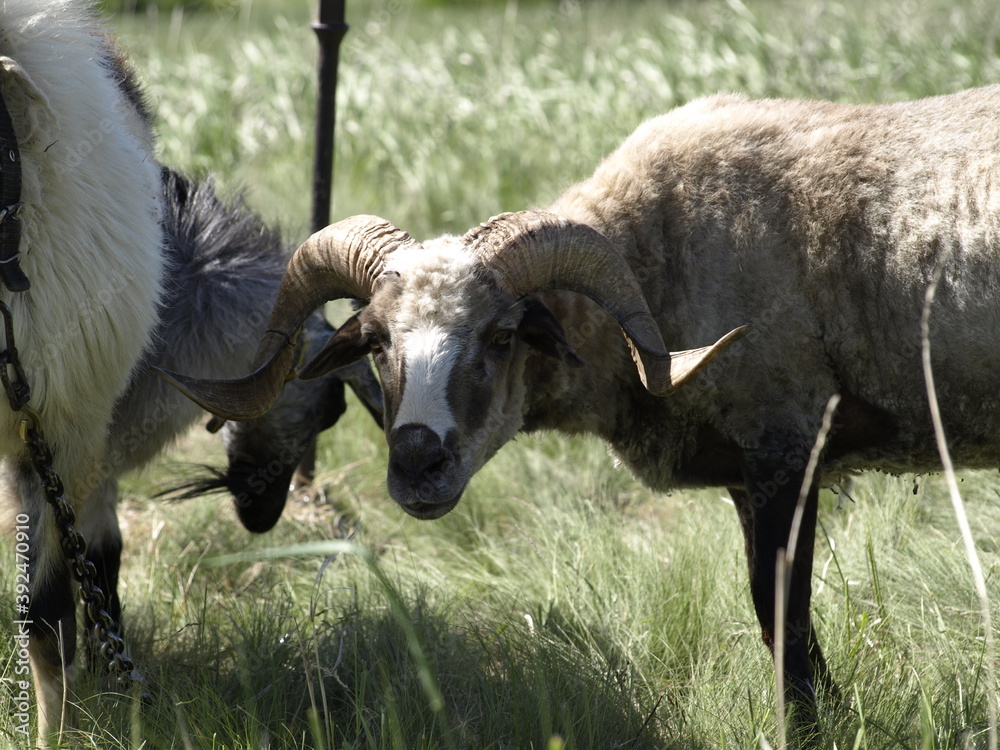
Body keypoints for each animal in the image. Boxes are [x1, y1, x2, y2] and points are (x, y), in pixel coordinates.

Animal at [159, 85, 1000, 734]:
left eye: (502, 336)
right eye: (374, 340)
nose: (416, 465)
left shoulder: (784, 443)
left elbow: (780, 613)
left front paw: (810, 726)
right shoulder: (745, 469)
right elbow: (778, 621)